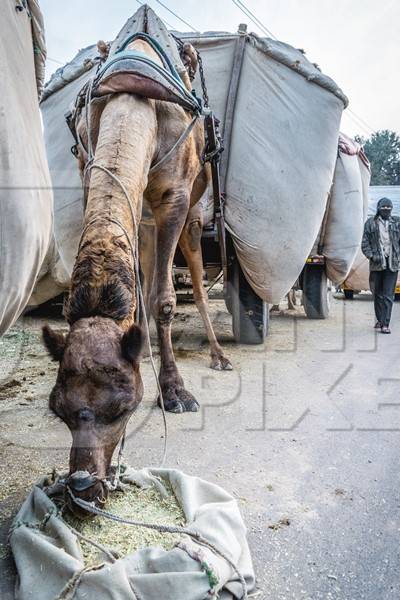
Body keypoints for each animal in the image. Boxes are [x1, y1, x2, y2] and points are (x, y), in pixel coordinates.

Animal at [42, 32, 230, 512]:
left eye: (123, 408)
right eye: (59, 410)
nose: (83, 487)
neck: (135, 100)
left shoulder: (175, 197)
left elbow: (164, 299)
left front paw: (175, 392)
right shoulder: (92, 174)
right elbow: (142, 288)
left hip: (193, 213)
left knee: (197, 278)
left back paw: (219, 355)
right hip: (141, 214)